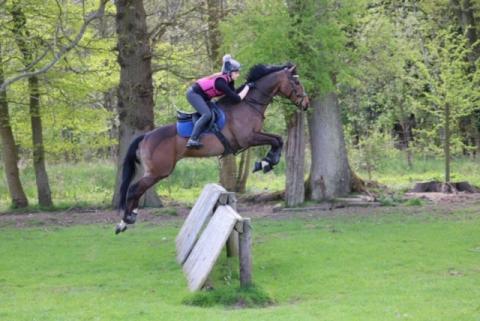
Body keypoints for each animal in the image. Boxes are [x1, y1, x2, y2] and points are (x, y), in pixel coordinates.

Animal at [116, 63, 312, 232]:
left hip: (156, 172)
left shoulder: (255, 135)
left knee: (136, 190)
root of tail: (146, 136)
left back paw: (130, 216)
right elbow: (277, 140)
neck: (248, 104)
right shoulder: (248, 138)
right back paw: (124, 221)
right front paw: (266, 162)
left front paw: (266, 162)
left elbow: (278, 139)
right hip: (159, 171)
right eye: (296, 82)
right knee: (134, 189)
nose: (306, 104)